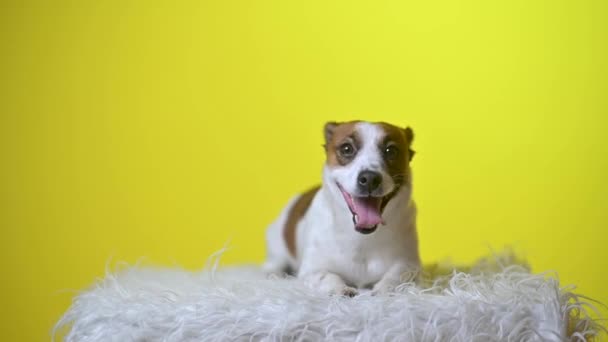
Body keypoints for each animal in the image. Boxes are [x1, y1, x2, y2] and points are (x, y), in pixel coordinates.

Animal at [264, 121, 420, 296]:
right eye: (347, 149)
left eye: (391, 151)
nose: (370, 178)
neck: (361, 238)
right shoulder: (311, 270)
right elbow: (327, 276)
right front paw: (340, 288)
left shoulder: (410, 264)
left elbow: (398, 275)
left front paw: (385, 289)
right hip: (277, 243)